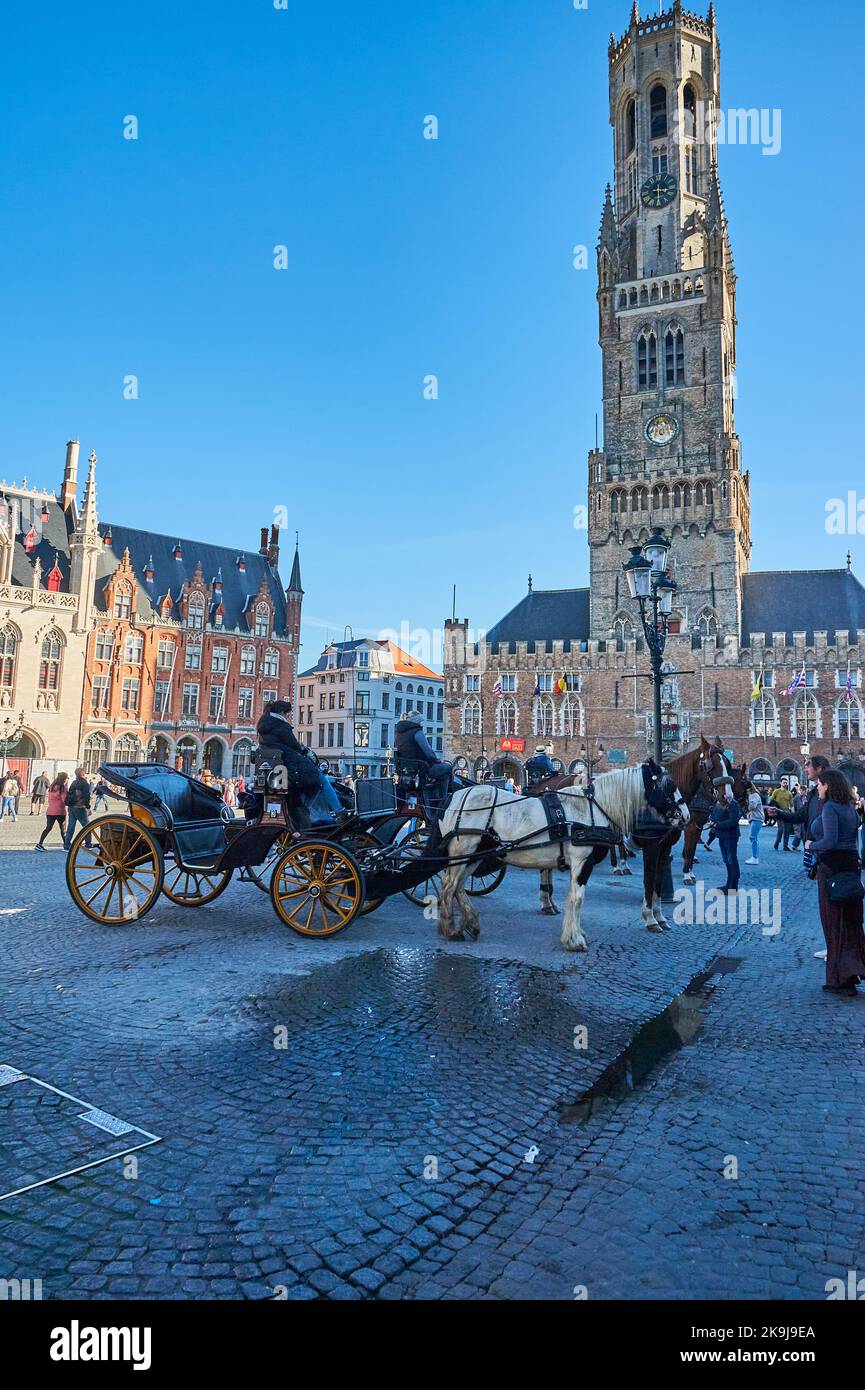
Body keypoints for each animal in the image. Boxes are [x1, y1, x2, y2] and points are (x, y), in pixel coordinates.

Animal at [439, 767, 692, 950]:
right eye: (670, 786)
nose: (686, 815)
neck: (592, 809)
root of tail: (454, 798)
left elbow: (573, 897)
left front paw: (575, 933)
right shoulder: (582, 862)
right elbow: (577, 899)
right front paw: (574, 940)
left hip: (476, 855)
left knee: (458, 886)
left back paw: (470, 924)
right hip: (465, 850)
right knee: (449, 885)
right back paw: (450, 929)